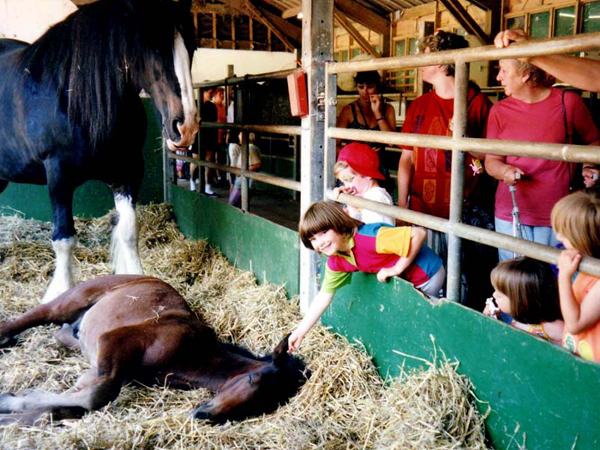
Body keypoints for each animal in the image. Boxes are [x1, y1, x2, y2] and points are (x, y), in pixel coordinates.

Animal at [0, 0, 202, 304]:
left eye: (191, 48)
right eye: (151, 45)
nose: (185, 126)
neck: (75, 96)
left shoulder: (128, 171)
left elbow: (128, 230)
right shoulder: (58, 174)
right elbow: (64, 237)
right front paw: (58, 293)